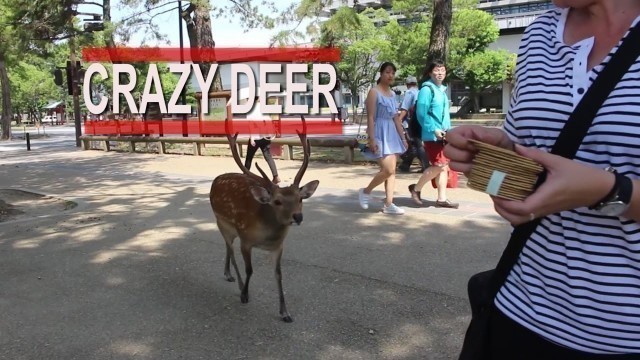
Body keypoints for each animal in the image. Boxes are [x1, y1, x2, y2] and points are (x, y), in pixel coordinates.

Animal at [210, 121, 320, 324]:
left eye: (300, 198)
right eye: (277, 201)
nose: (298, 217)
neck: (266, 237)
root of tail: (216, 179)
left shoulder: (279, 246)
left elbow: (279, 275)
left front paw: (285, 313)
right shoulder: (246, 240)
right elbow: (250, 269)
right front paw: (245, 295)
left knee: (227, 247)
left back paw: (228, 274)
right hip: (221, 222)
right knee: (230, 249)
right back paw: (237, 283)